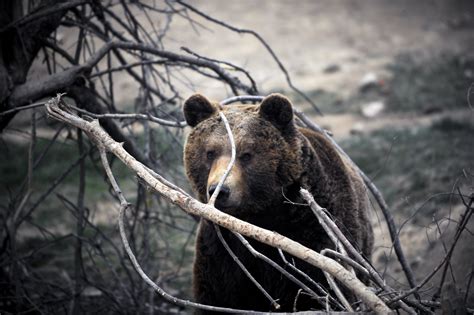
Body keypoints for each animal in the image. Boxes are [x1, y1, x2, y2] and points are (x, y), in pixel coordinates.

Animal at [183, 93, 372, 314]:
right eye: (210, 152)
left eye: (247, 154)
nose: (219, 190)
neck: (263, 216)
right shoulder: (220, 250)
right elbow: (216, 297)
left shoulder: (315, 232)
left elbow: (325, 291)